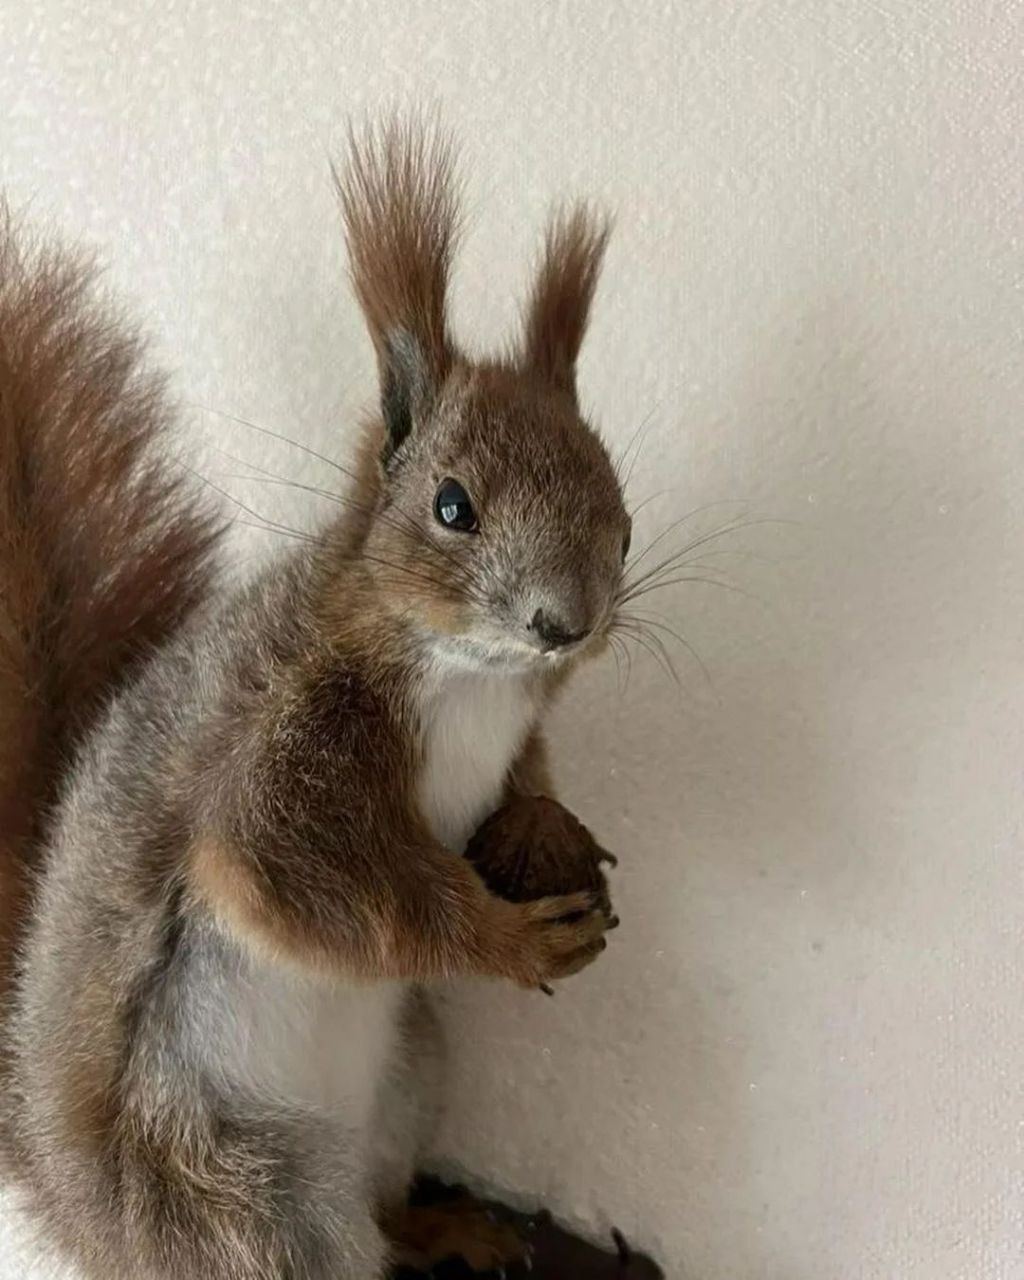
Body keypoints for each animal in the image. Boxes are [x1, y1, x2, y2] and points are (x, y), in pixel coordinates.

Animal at [0, 119, 631, 1279]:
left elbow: (526, 784)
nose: (564, 625)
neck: (472, 683)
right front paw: (511, 943)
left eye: (620, 512)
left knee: (387, 1205)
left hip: (410, 1072)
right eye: (452, 506)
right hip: (245, 1196)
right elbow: (297, 881)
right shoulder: (283, 751)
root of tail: (81, 1210)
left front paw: (547, 825)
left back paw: (444, 1224)